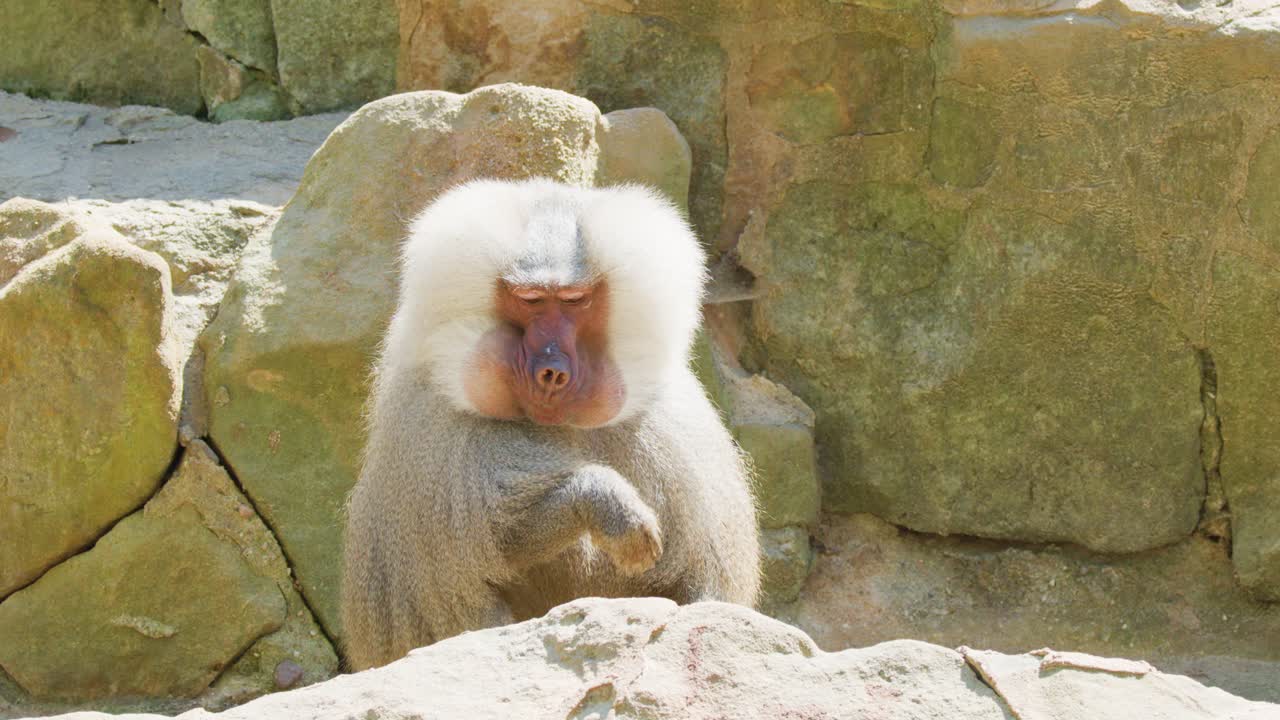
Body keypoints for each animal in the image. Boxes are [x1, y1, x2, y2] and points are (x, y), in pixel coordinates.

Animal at [340, 178, 760, 671]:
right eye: (531, 301)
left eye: (575, 300)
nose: (551, 373)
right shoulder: (437, 432)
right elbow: (502, 539)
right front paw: (607, 503)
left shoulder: (666, 425)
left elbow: (699, 585)